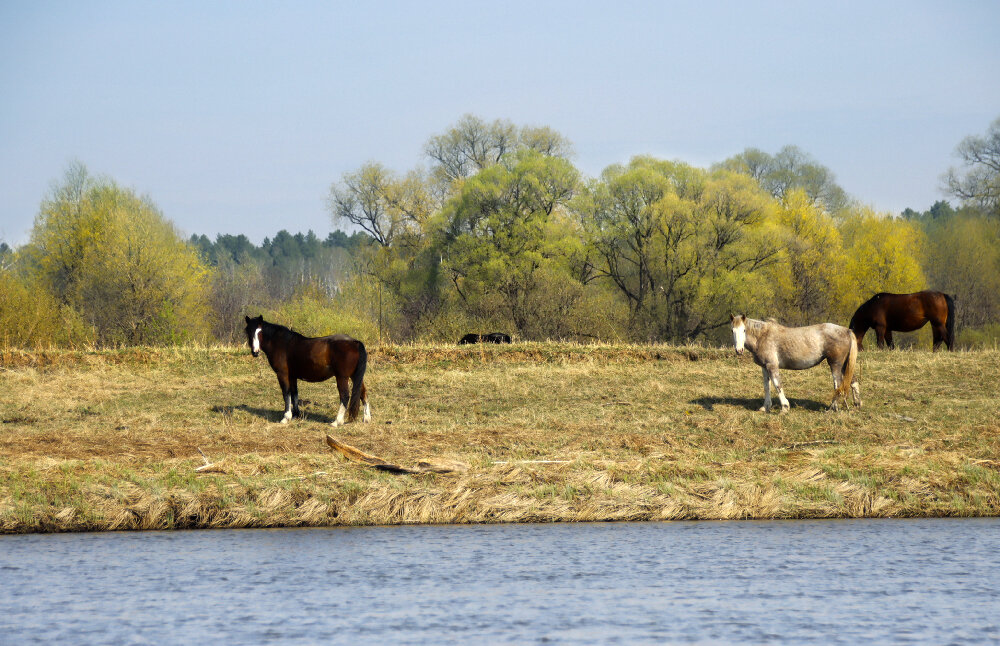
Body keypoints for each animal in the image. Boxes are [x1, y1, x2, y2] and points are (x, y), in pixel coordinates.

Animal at [243, 316, 372, 428]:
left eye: (260, 331)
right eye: (248, 331)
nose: (255, 352)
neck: (282, 343)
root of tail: (355, 342)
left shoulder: (282, 374)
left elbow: (286, 393)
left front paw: (286, 417)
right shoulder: (292, 376)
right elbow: (294, 394)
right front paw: (295, 415)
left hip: (342, 377)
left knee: (345, 396)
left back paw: (337, 421)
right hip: (355, 376)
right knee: (363, 393)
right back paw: (366, 418)